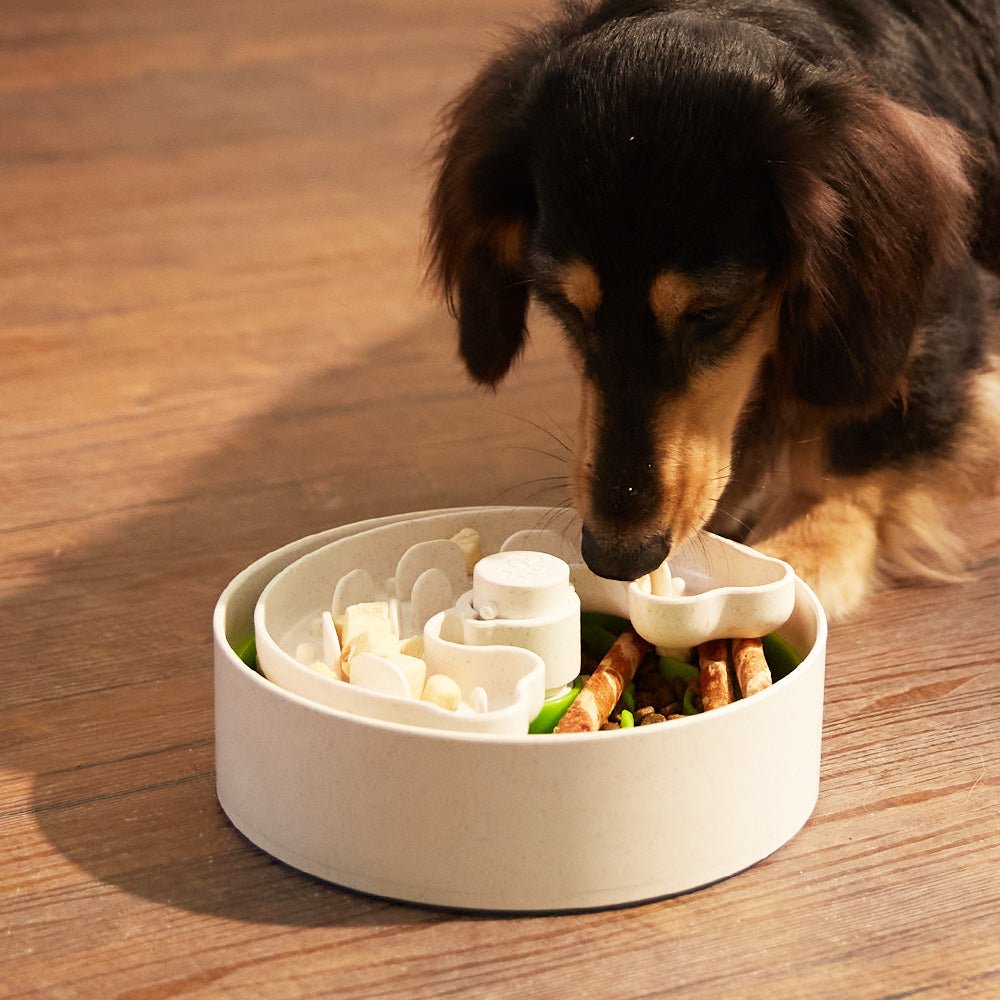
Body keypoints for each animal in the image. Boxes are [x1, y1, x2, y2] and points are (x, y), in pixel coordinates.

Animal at [428, 0, 1000, 616]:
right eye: (564, 305)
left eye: (710, 312)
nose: (617, 558)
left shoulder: (934, 316)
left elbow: (856, 437)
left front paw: (803, 545)